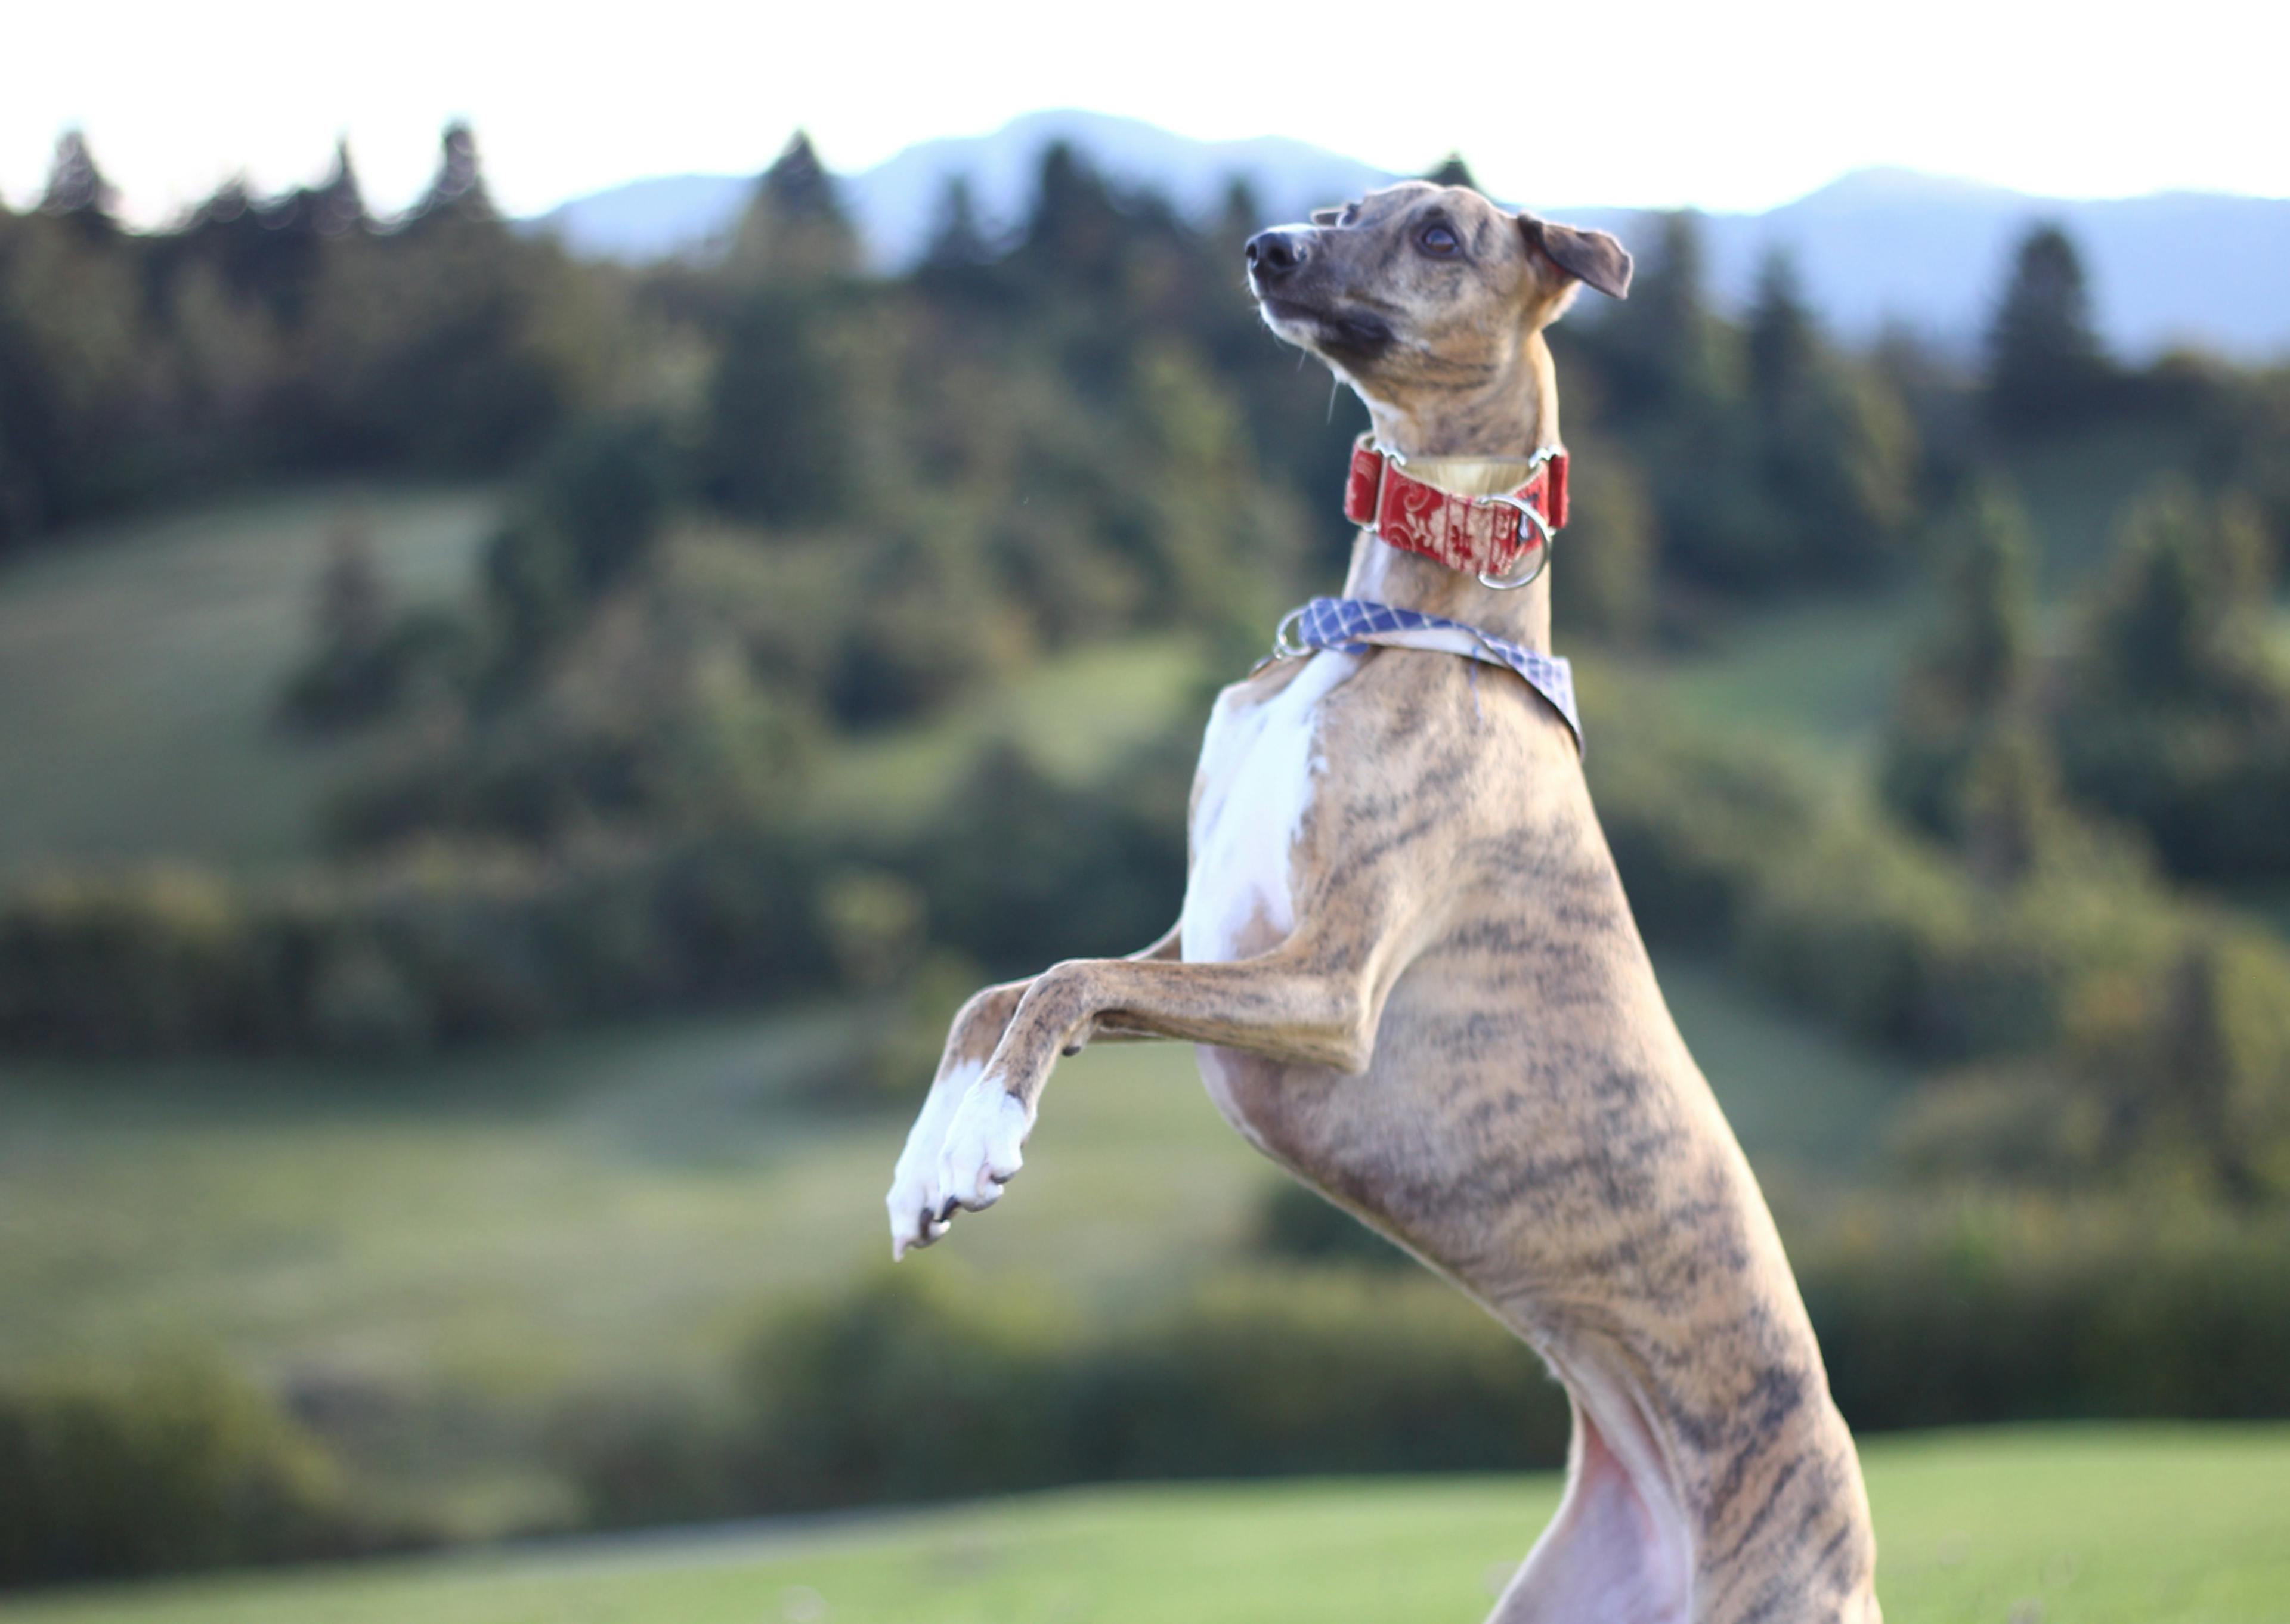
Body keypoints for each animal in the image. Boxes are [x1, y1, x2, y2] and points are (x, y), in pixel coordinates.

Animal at [879, 181, 1877, 1622]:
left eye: (1442, 237)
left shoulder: (1328, 984)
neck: (1400, 627)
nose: (1267, 247)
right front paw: (928, 1162)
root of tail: (1853, 1537)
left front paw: (983, 1143)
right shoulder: (1207, 936)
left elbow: (1066, 982)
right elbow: (1004, 989)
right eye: (1346, 205)